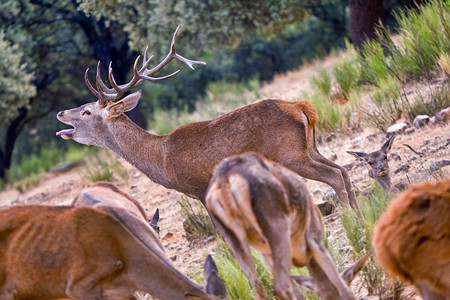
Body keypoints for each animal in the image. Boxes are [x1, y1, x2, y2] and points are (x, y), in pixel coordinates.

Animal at [56, 25, 358, 210]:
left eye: (86, 111)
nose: (60, 112)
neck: (161, 159)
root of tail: (301, 106)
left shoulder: (199, 186)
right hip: (310, 147)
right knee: (343, 170)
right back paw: (360, 214)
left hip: (289, 154)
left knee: (333, 175)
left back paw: (351, 220)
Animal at [206, 152, 368, 300]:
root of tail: (226, 181)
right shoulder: (315, 239)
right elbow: (341, 285)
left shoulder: (267, 253)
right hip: (278, 232)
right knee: (280, 286)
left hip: (238, 244)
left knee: (259, 289)